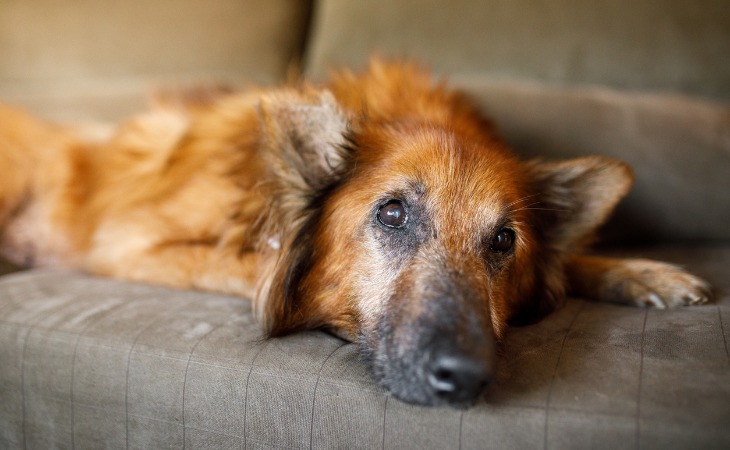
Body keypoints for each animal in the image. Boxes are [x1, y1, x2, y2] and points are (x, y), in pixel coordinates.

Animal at [0, 59, 708, 408]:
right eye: (391, 214)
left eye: (505, 242)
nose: (467, 378)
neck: (261, 192)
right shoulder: (129, 243)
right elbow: (258, 263)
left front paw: (641, 272)